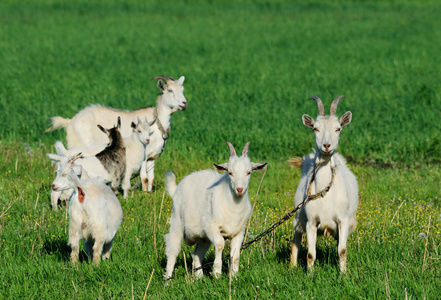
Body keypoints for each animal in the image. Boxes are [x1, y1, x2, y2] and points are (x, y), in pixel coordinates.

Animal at [45, 75, 187, 192]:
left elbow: (151, 178)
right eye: (170, 90)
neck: (157, 122)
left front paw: (148, 193)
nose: (184, 103)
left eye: (182, 89)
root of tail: (70, 121)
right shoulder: (144, 155)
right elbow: (145, 178)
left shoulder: (153, 157)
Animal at [162, 141, 264, 278]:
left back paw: (199, 277)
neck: (234, 206)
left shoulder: (239, 232)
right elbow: (220, 245)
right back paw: (167, 279)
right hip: (177, 222)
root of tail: (176, 189)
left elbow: (236, 255)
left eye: (249, 172)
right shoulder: (212, 227)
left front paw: (234, 276)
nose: (239, 189)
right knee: (172, 250)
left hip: (203, 237)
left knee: (196, 254)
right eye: (230, 172)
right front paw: (217, 273)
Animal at [288, 95, 358, 274]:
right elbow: (311, 254)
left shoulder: (343, 220)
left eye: (338, 128)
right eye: (315, 129)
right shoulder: (311, 222)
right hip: (298, 218)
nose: (327, 146)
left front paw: (343, 275)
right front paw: (310, 276)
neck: (325, 192)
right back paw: (292, 267)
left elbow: (342, 250)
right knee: (295, 241)